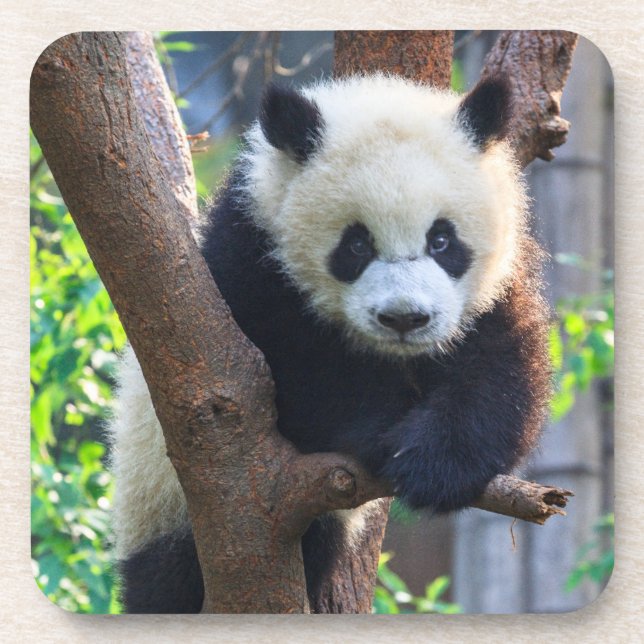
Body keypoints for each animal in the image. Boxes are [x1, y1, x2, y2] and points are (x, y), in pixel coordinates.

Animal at [108, 74, 551, 613]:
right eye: (356, 244)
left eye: (442, 240)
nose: (404, 318)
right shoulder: (248, 261)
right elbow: (293, 378)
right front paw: (383, 433)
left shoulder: (494, 285)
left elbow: (499, 367)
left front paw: (434, 464)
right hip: (160, 501)